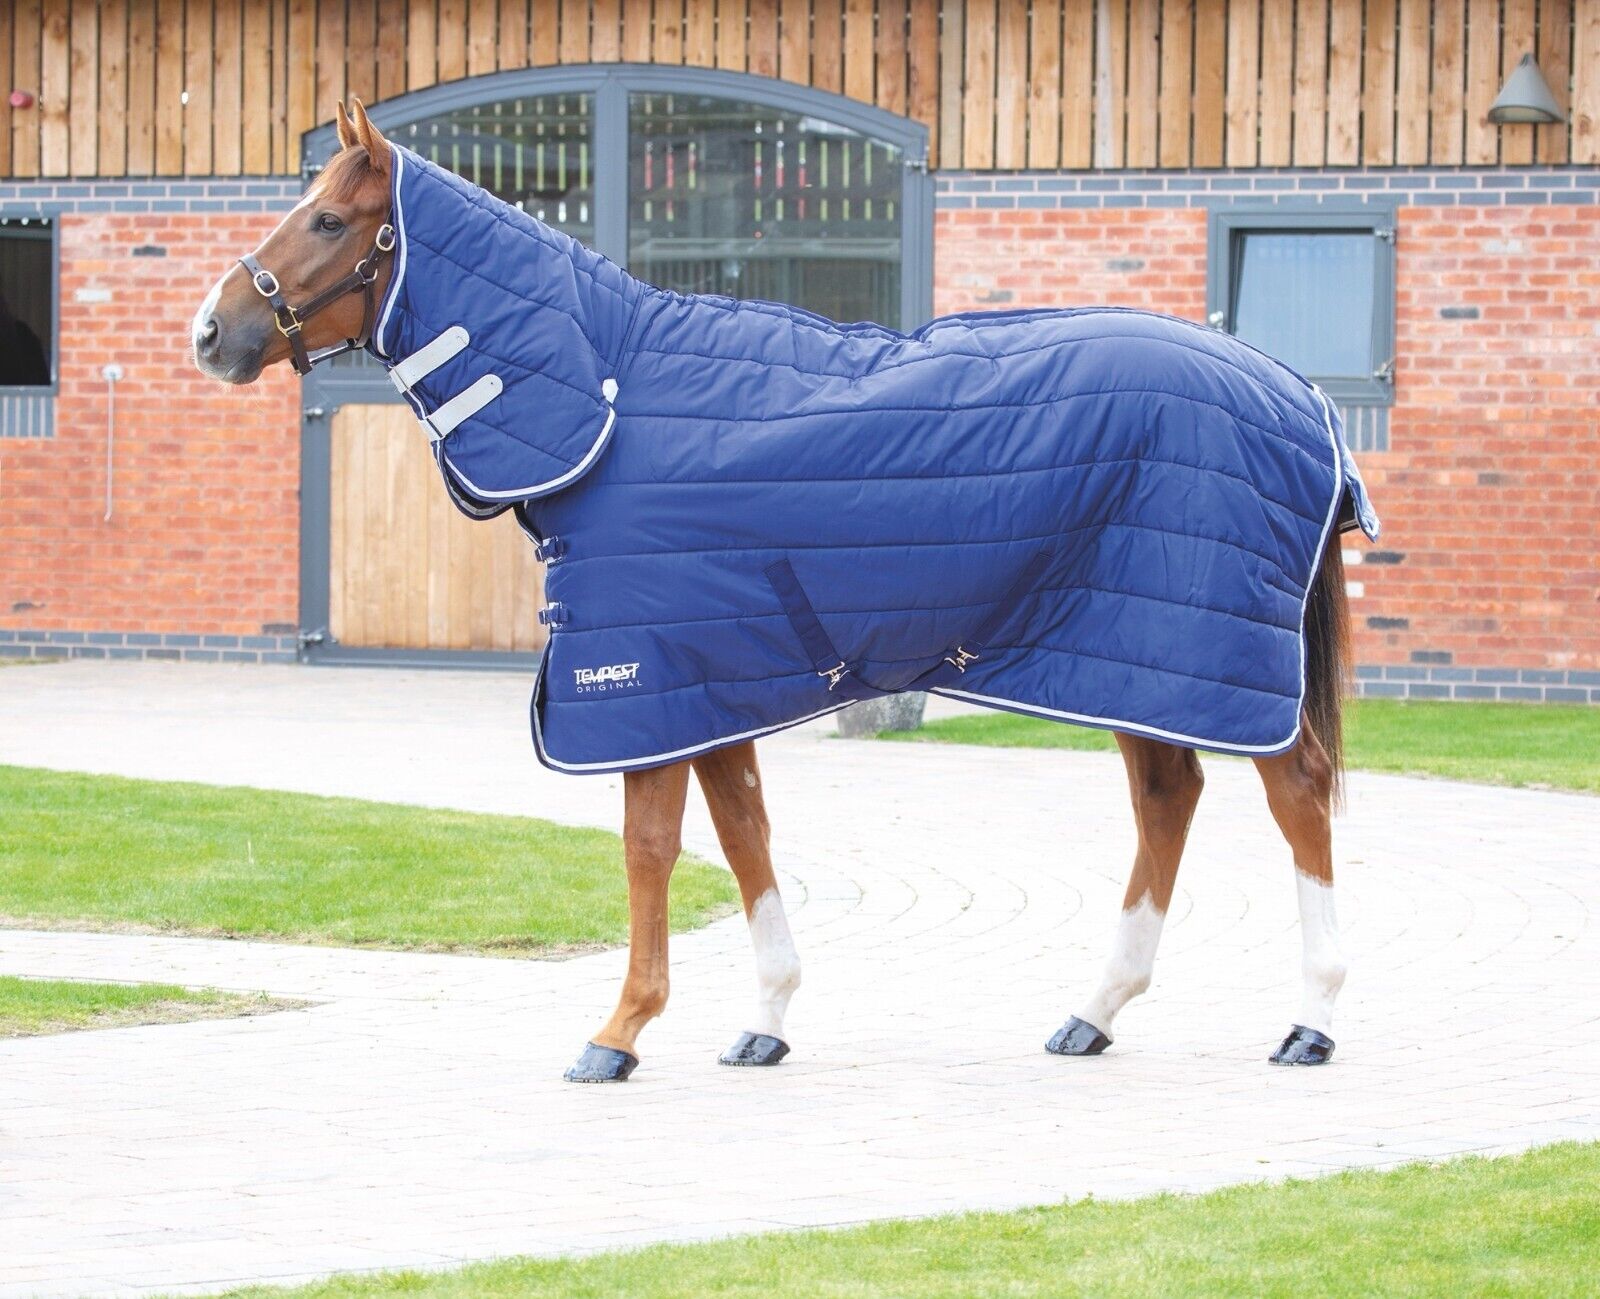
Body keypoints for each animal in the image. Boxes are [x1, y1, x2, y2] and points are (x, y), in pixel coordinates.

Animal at [193, 101, 1376, 1082]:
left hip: (1203, 656)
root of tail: (1297, 396)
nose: (212, 332)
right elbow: (743, 836)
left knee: (1298, 791)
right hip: (1132, 656)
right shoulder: (712, 680)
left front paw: (617, 1032)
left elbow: (652, 848)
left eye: (329, 220)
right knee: (1169, 797)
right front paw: (763, 1019)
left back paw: (1312, 1019)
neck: (618, 403)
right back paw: (1095, 1012)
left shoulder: (644, 677)